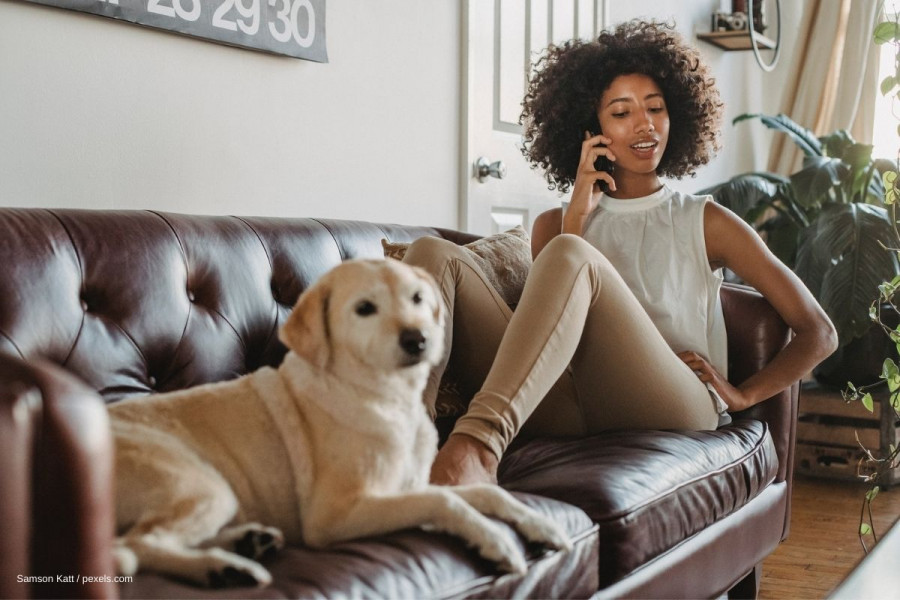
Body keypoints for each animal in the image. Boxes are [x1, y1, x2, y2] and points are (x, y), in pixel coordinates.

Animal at [109, 258, 568, 584]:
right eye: (365, 309)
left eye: (418, 298)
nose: (418, 339)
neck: (388, 400)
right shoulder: (338, 514)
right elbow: (447, 501)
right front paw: (495, 540)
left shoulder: (411, 486)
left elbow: (488, 494)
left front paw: (539, 523)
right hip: (203, 484)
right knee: (137, 543)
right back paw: (222, 569)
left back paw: (246, 544)